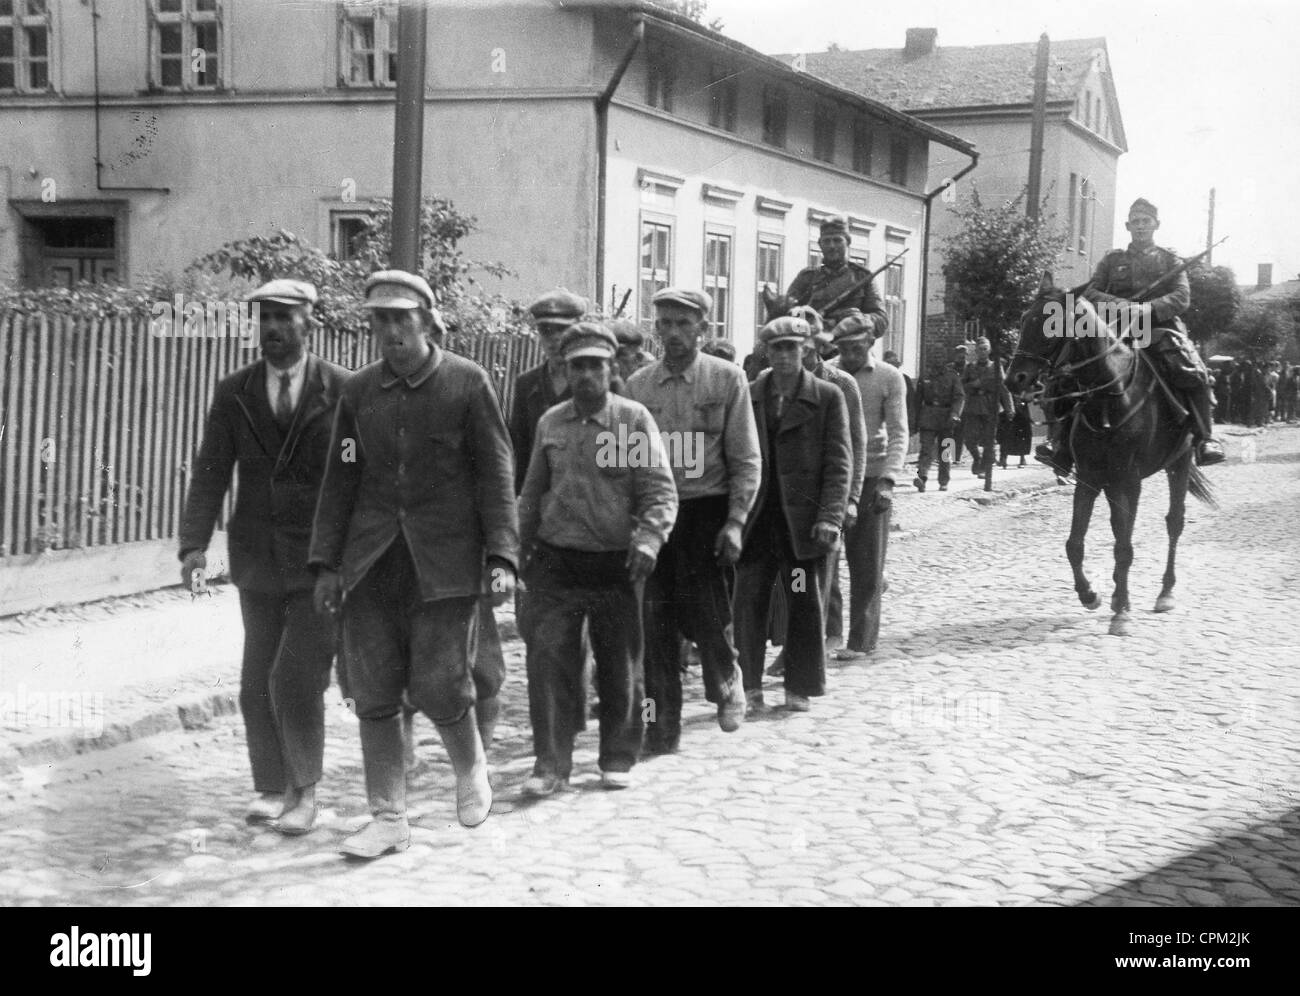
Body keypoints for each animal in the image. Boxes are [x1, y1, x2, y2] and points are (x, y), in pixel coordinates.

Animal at [1008, 273, 1211, 634]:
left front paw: (1122, 611)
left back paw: (1165, 593)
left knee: (1174, 523)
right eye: (1023, 320)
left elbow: (1124, 546)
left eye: (1051, 323)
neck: (1109, 396)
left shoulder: (1129, 481)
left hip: (1179, 462)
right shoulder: (1089, 479)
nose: (1013, 379)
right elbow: (1075, 543)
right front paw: (1091, 595)